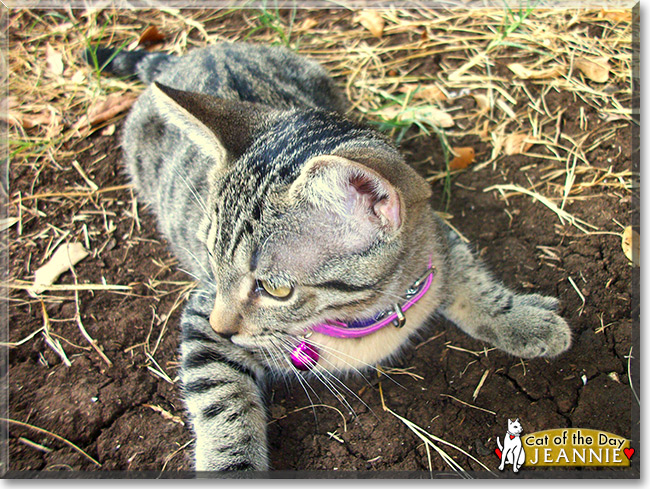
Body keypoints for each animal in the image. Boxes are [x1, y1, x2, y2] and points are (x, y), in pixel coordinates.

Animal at [85, 43, 568, 472]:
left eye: (276, 288)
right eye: (210, 256)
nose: (225, 328)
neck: (366, 317)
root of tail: (203, 50)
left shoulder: (436, 237)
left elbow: (472, 278)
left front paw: (523, 320)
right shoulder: (202, 313)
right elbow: (222, 402)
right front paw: (232, 466)